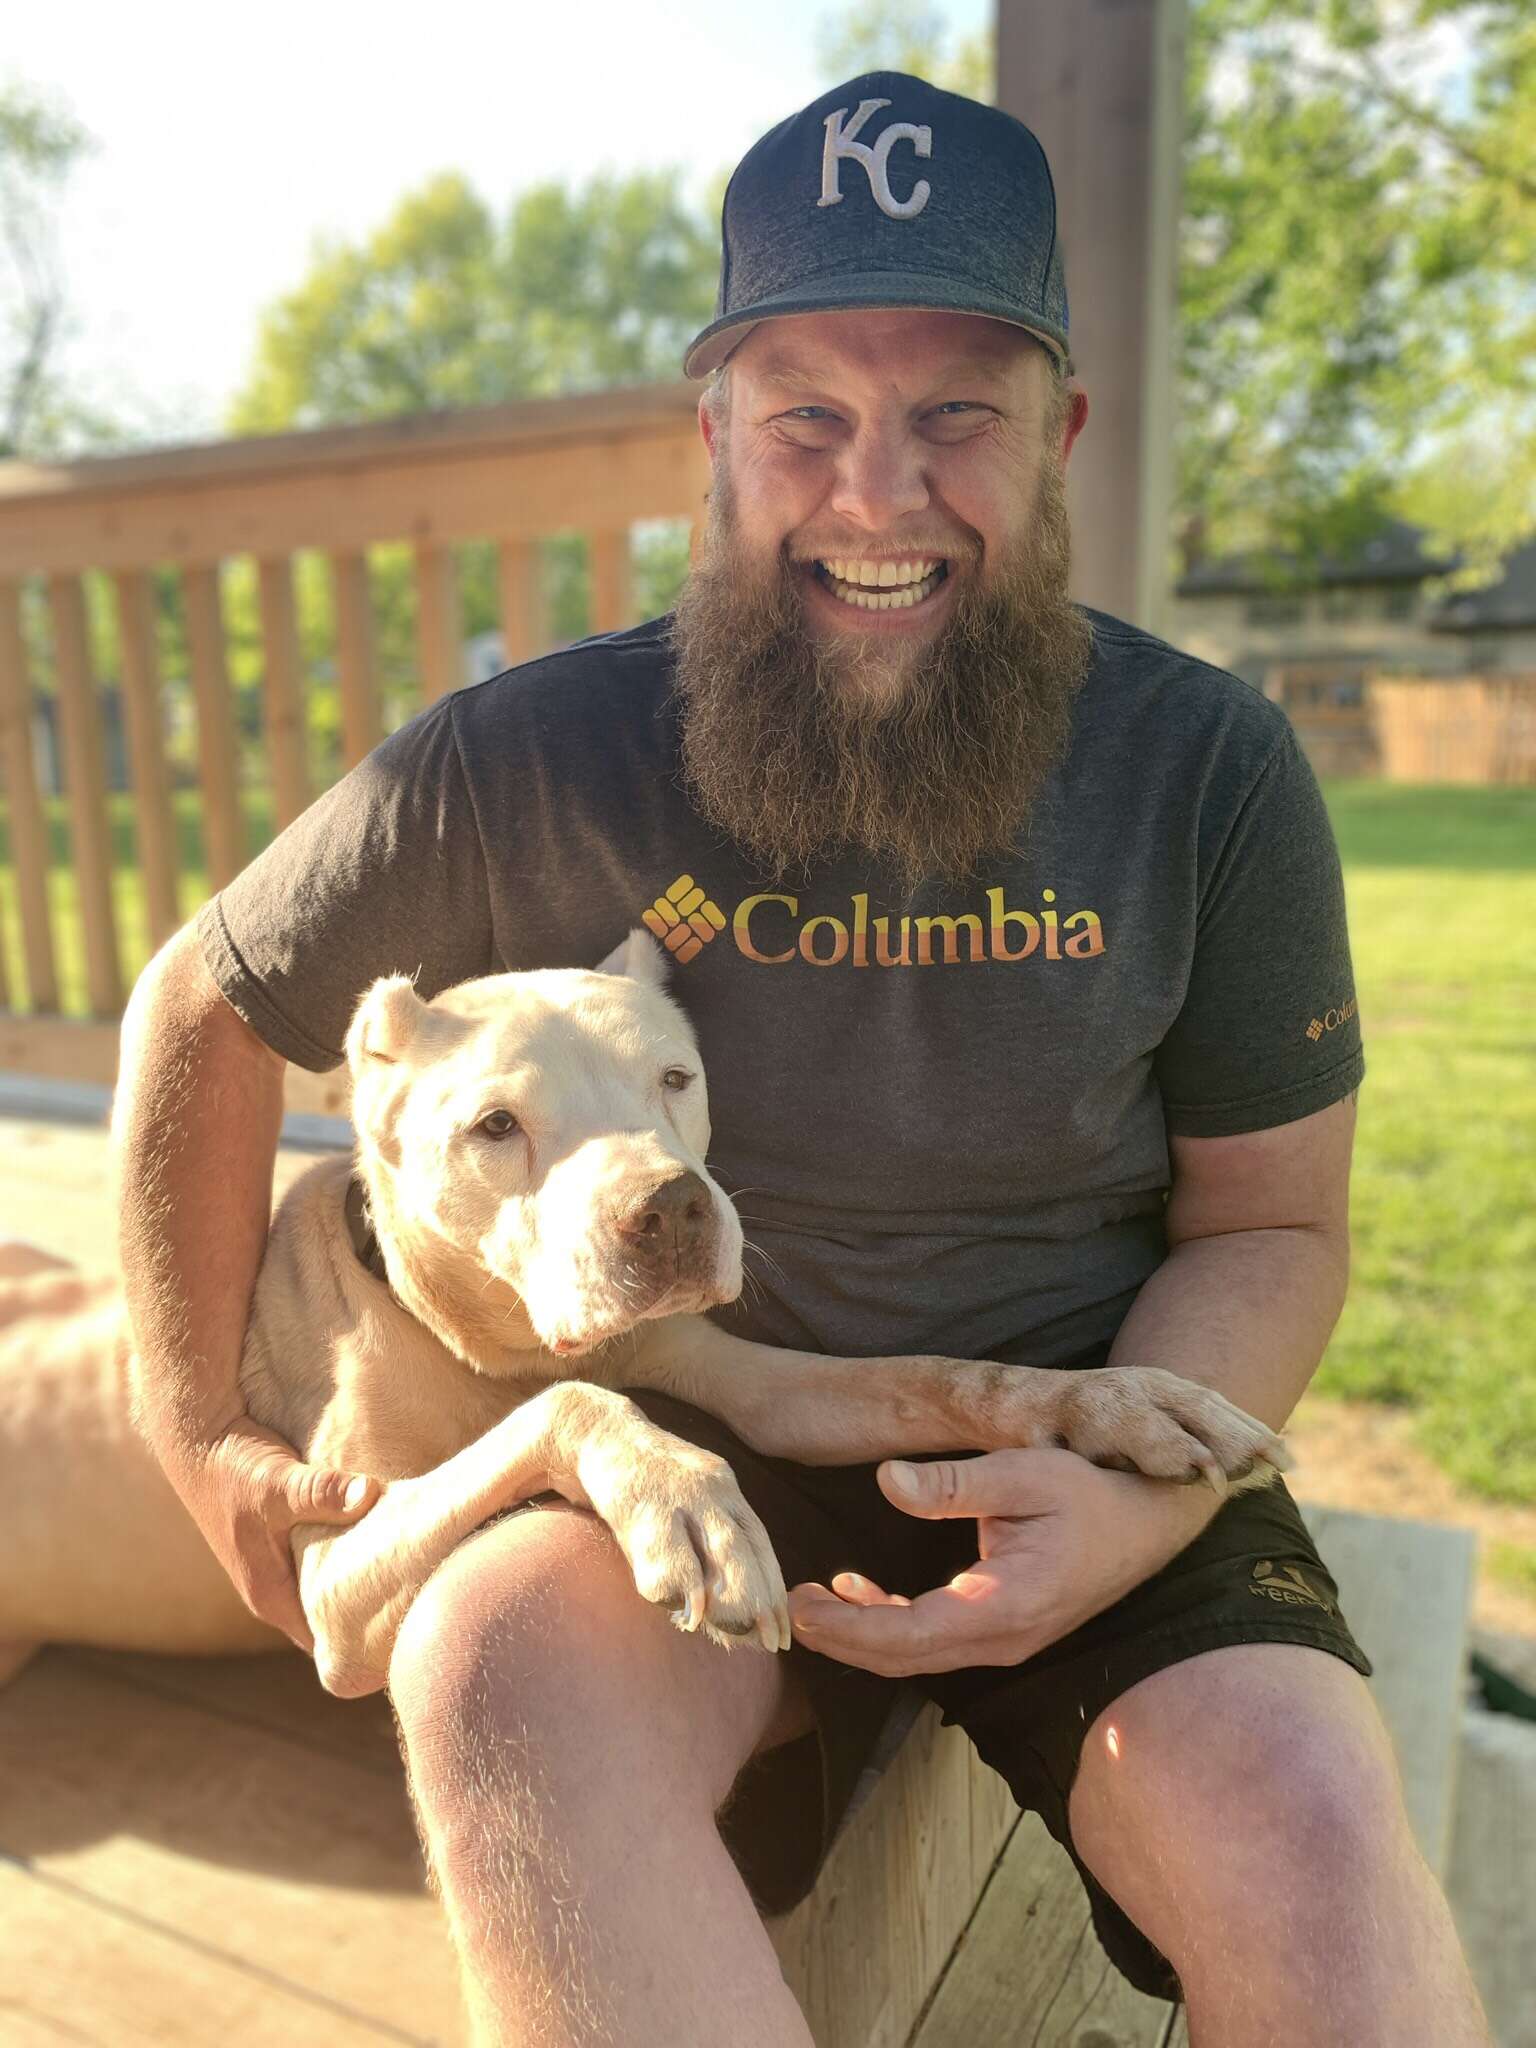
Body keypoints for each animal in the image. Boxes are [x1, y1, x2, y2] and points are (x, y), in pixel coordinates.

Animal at [0, 933, 1286, 1695]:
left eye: (676, 1078)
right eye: (496, 1126)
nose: (669, 1209)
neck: (471, 1332)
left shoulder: (763, 1380)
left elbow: (938, 1372)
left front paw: (1121, 1398)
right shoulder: (329, 1580)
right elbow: (573, 1401)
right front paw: (687, 1501)